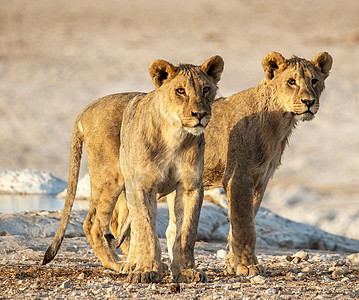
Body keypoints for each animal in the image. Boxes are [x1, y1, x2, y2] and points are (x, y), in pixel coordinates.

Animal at [43, 55, 225, 284]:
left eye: (206, 89)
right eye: (180, 91)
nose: (200, 114)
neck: (176, 135)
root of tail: (85, 110)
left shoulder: (190, 186)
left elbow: (186, 231)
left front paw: (185, 271)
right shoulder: (142, 185)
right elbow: (146, 228)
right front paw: (147, 270)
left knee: (118, 223)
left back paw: (132, 262)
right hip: (110, 179)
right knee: (93, 224)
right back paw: (118, 264)